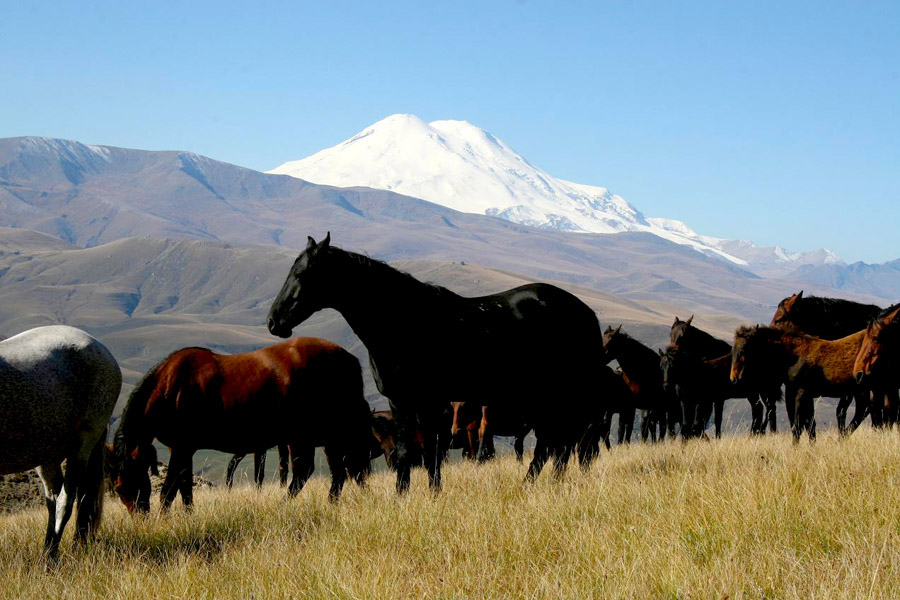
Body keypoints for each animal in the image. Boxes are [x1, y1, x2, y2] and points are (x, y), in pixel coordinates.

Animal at [0, 326, 121, 560]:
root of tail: (101, 348)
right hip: (47, 453)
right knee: (54, 500)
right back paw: (52, 550)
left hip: (83, 444)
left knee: (67, 501)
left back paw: (51, 559)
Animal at [107, 337, 372, 512]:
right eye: (118, 488)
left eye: (133, 482)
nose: (140, 515)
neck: (169, 388)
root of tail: (349, 359)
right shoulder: (182, 449)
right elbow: (184, 488)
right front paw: (187, 516)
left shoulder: (182, 448)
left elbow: (168, 491)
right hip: (325, 439)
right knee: (337, 473)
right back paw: (330, 504)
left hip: (308, 436)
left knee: (308, 472)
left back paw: (283, 506)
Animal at [267, 233, 606, 493]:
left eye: (302, 274)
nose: (274, 321)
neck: (405, 322)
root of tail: (585, 311)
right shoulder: (404, 403)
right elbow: (415, 453)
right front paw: (413, 496)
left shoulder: (424, 402)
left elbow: (425, 453)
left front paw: (419, 496)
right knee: (556, 444)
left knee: (556, 442)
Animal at [730, 325, 876, 442]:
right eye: (732, 351)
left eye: (742, 351)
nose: (734, 378)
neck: (794, 356)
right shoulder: (800, 394)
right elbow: (809, 425)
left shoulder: (801, 393)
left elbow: (798, 426)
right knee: (861, 411)